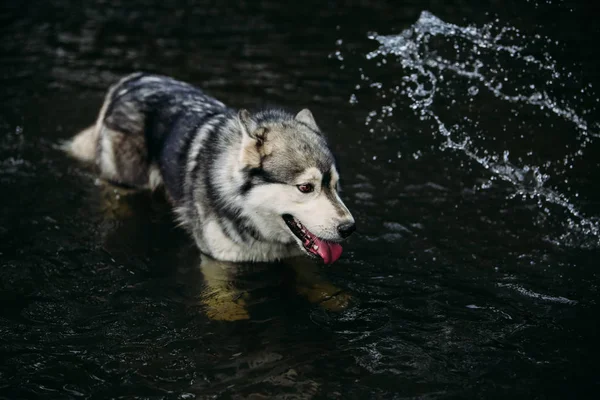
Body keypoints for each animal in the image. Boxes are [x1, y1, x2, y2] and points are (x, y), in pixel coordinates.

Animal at [67, 73, 354, 264]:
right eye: (305, 188)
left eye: (335, 185)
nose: (349, 228)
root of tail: (128, 81)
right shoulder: (217, 263)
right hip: (125, 181)